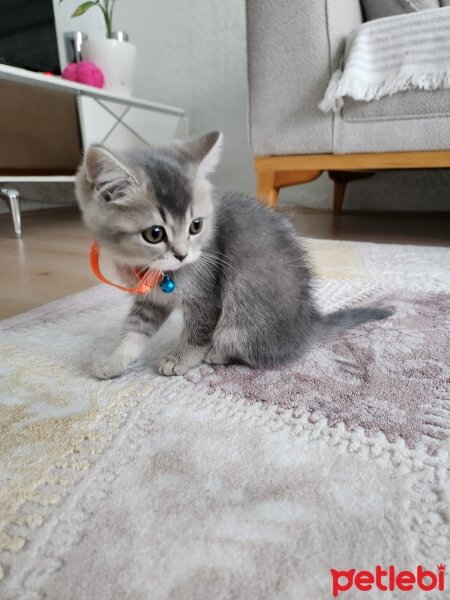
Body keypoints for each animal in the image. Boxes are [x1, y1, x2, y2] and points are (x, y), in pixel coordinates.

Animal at [75, 132, 392, 380]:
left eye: (196, 226)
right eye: (154, 233)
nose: (182, 255)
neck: (154, 270)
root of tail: (308, 325)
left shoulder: (206, 295)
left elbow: (198, 330)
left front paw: (181, 359)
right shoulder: (151, 299)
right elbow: (135, 327)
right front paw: (115, 359)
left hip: (244, 309)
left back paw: (218, 353)